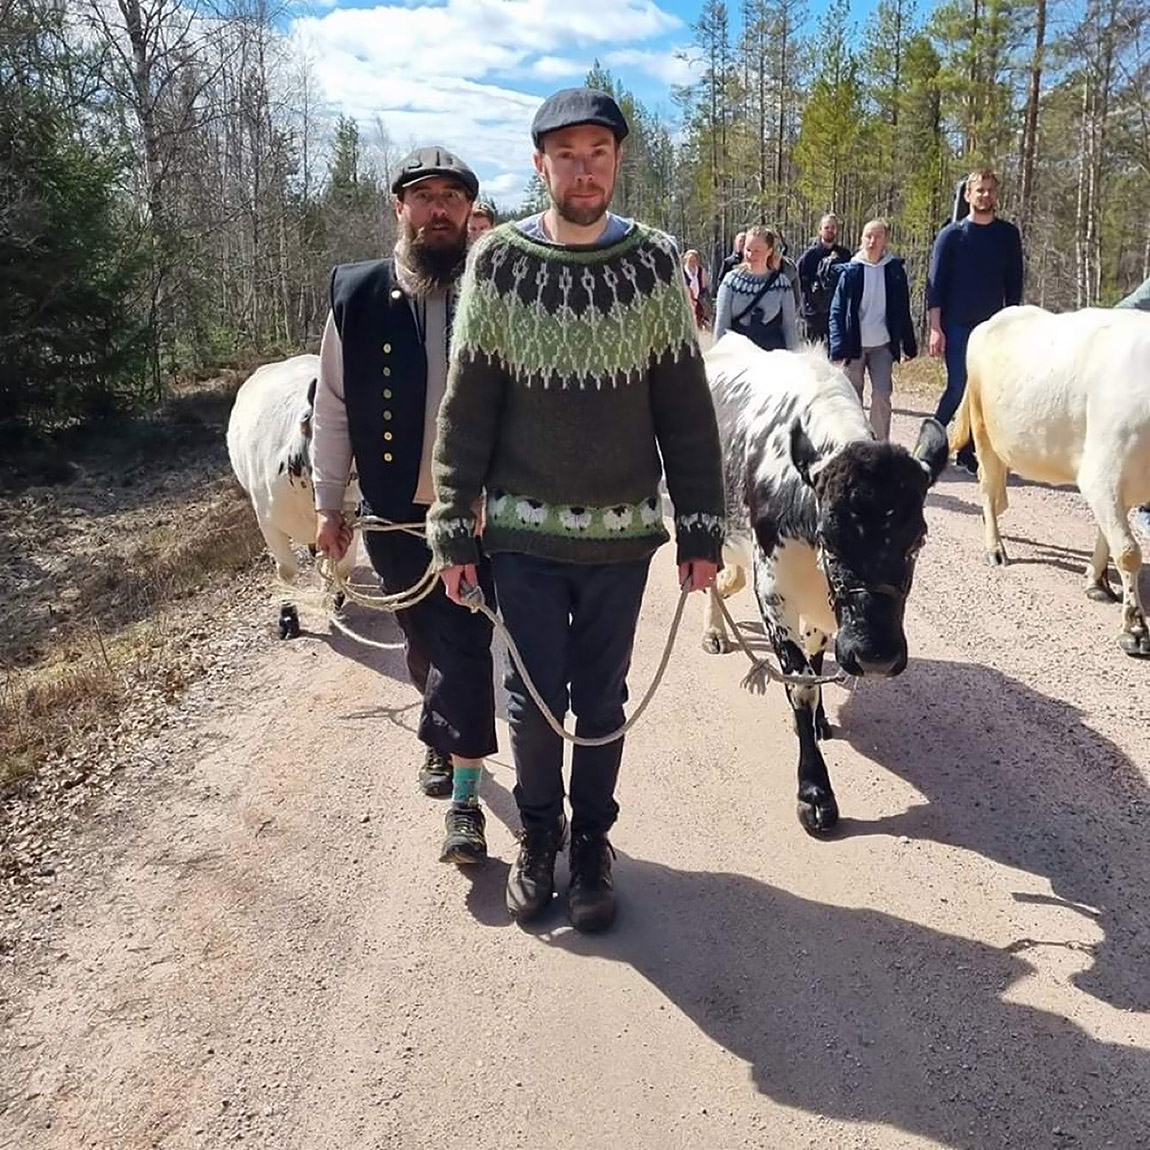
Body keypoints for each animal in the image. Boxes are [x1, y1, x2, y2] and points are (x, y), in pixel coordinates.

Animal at [703, 335, 947, 837]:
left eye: (917, 540)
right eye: (829, 539)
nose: (875, 655)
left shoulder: (821, 608)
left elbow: (815, 661)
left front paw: (817, 724)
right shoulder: (773, 592)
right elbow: (800, 684)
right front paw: (815, 792)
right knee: (709, 579)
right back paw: (714, 630)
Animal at [952, 305, 1150, 657]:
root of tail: (995, 319)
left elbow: (1108, 536)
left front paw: (1097, 581)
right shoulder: (1103, 474)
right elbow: (1128, 551)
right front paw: (1135, 629)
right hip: (983, 428)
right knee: (988, 490)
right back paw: (995, 548)